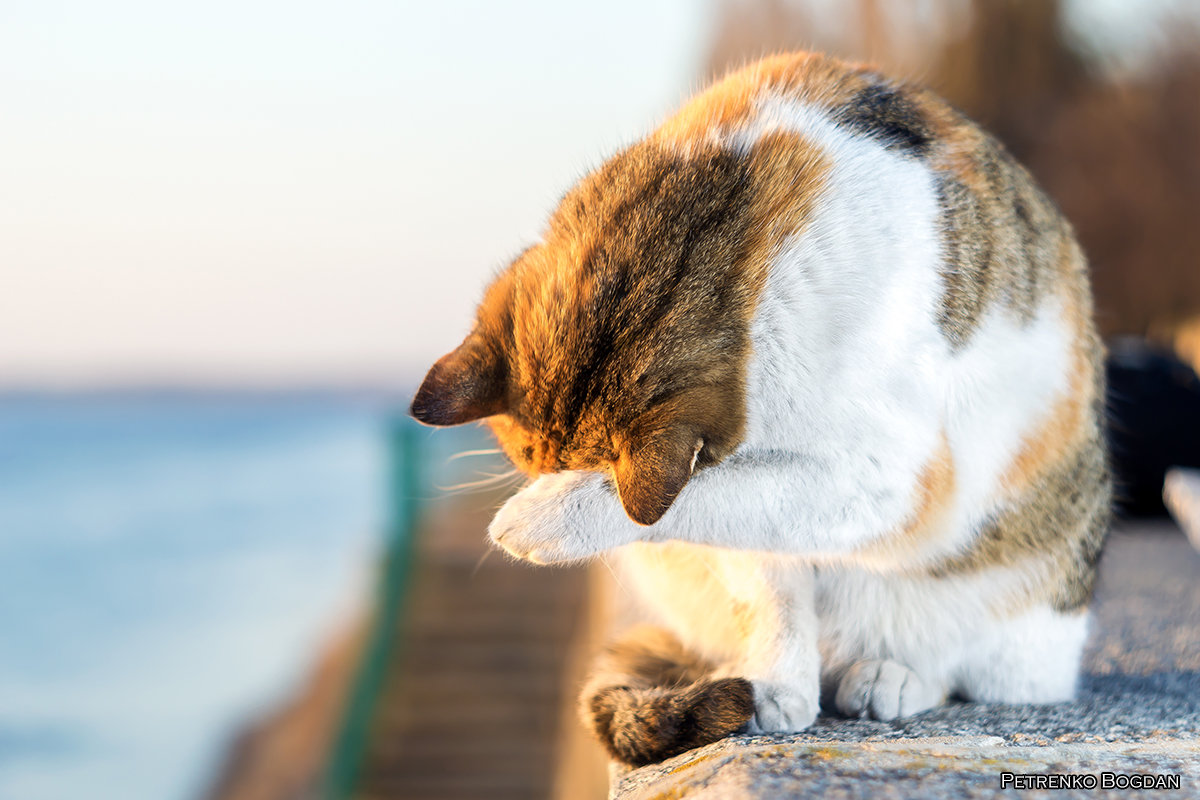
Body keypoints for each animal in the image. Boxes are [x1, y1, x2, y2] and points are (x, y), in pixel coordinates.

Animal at [410, 51, 1104, 767]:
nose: (544, 487)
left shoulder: (887, 480)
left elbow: (695, 498)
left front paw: (543, 518)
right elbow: (765, 573)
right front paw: (777, 685)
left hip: (1012, 623)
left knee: (961, 668)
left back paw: (891, 676)